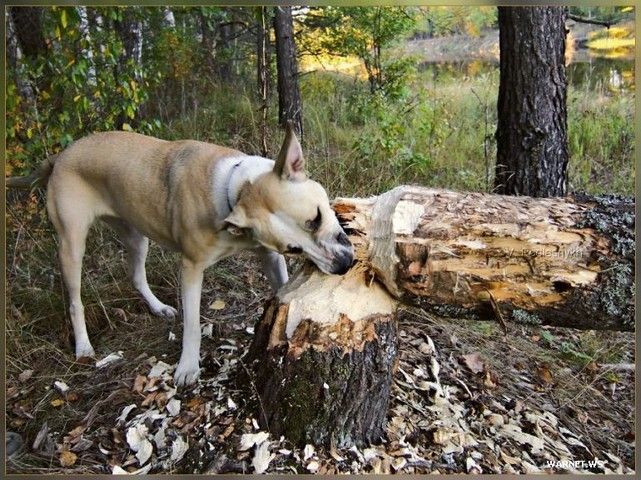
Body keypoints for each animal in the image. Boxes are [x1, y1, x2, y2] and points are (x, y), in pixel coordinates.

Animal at [7, 126, 352, 386]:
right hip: (72, 243)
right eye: (295, 246)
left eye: (316, 218)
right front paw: (187, 366)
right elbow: (193, 324)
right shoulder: (191, 268)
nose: (343, 265)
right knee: (75, 299)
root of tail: (60, 156)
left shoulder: (267, 255)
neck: (236, 190)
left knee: (136, 275)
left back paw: (158, 308)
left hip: (136, 235)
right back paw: (83, 345)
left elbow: (282, 287)